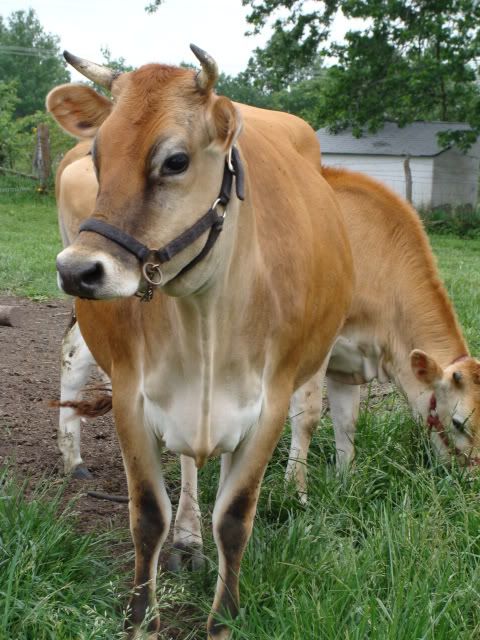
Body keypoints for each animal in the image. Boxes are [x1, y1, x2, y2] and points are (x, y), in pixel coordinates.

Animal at [47, 46, 354, 638]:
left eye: (175, 161)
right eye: (98, 154)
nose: (77, 271)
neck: (206, 320)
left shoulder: (269, 405)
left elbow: (234, 520)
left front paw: (222, 620)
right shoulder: (131, 397)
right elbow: (147, 515)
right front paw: (141, 619)